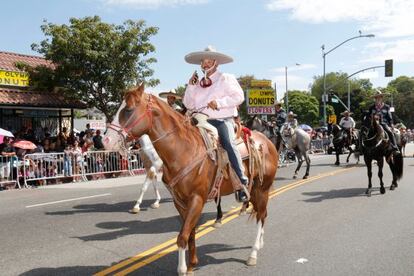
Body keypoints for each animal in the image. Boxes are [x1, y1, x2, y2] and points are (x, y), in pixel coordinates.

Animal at [103, 84, 278, 276]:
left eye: (128, 109)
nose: (106, 140)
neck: (183, 150)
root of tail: (267, 142)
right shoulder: (181, 202)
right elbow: (190, 233)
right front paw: (192, 265)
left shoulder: (196, 199)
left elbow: (182, 236)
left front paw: (182, 269)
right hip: (253, 190)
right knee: (262, 214)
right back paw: (259, 242)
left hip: (262, 188)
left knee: (261, 216)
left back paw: (253, 254)